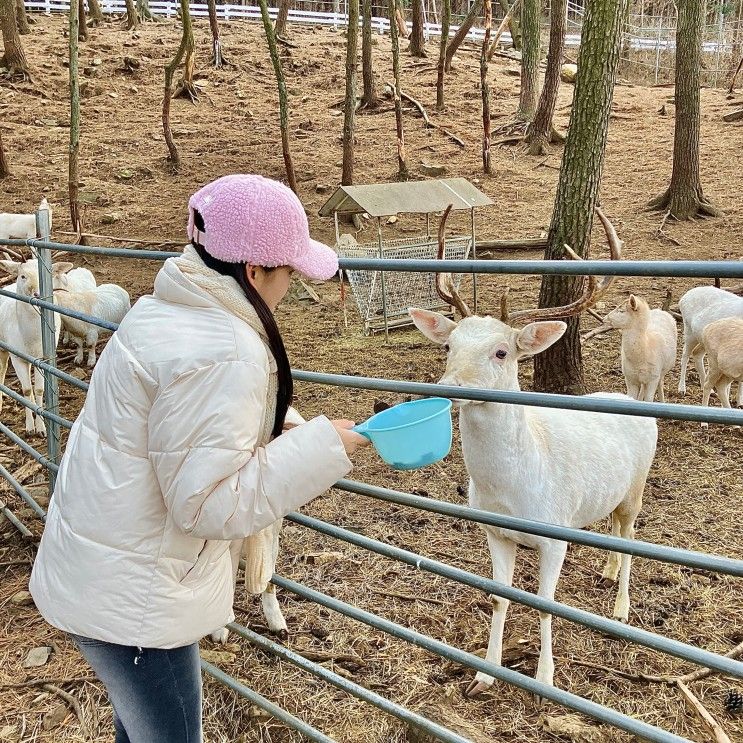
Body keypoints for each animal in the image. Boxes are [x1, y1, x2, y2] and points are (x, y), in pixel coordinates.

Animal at [0, 260, 72, 436]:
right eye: (23, 275)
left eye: (46, 275)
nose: (37, 294)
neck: (30, 341)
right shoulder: (16, 356)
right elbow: (26, 390)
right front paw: (29, 428)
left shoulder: (42, 358)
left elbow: (38, 390)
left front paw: (42, 429)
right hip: (4, 347)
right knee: (3, 368)